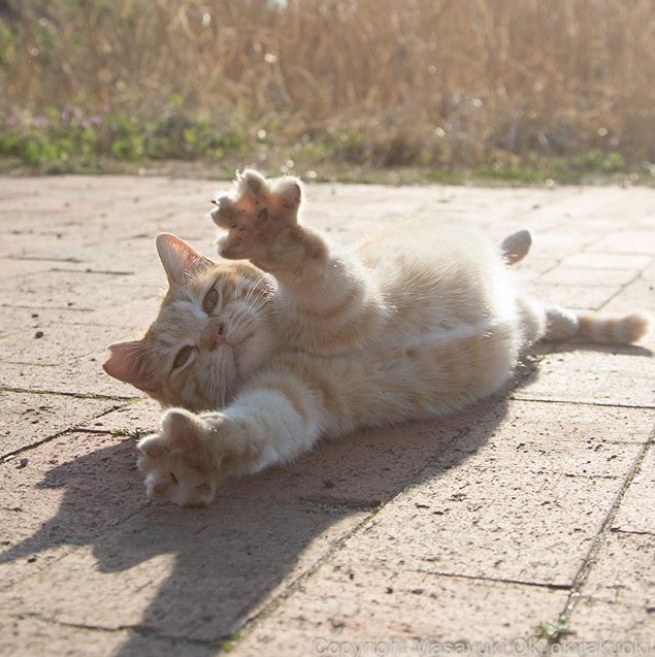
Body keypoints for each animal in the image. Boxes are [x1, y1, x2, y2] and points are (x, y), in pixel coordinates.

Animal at [102, 167, 652, 504]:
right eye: (183, 358)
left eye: (212, 300)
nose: (216, 335)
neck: (286, 341)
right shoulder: (291, 397)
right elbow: (251, 429)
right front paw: (195, 453)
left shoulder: (351, 298)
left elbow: (305, 260)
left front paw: (266, 230)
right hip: (525, 317)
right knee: (538, 312)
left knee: (512, 258)